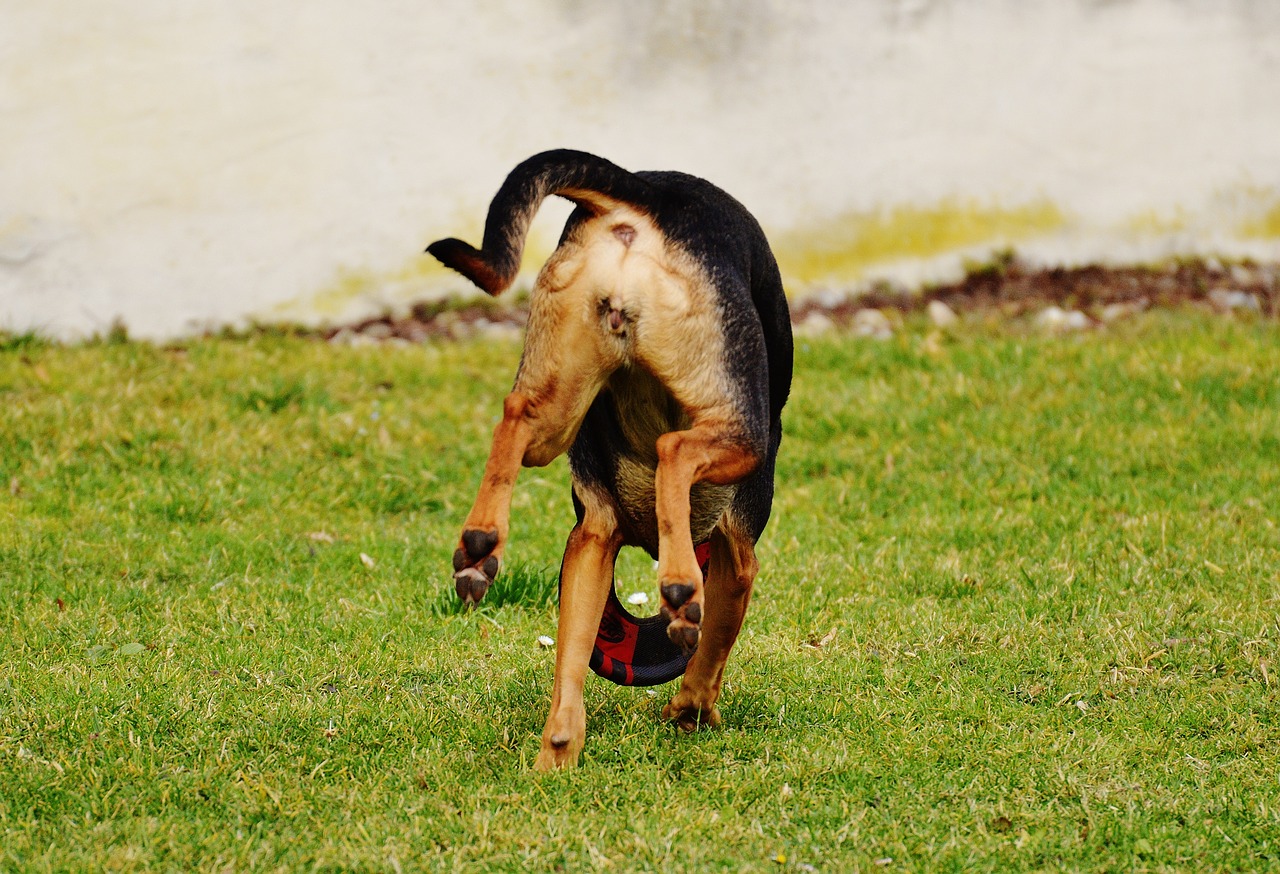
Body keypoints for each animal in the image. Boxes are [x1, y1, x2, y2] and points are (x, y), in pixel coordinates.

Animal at [427, 150, 788, 772]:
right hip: (740, 429)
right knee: (675, 451)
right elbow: (714, 645)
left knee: (515, 416)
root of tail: (647, 195)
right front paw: (693, 708)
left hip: (559, 398)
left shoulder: (591, 538)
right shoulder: (739, 558)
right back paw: (679, 584)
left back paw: (480, 546)